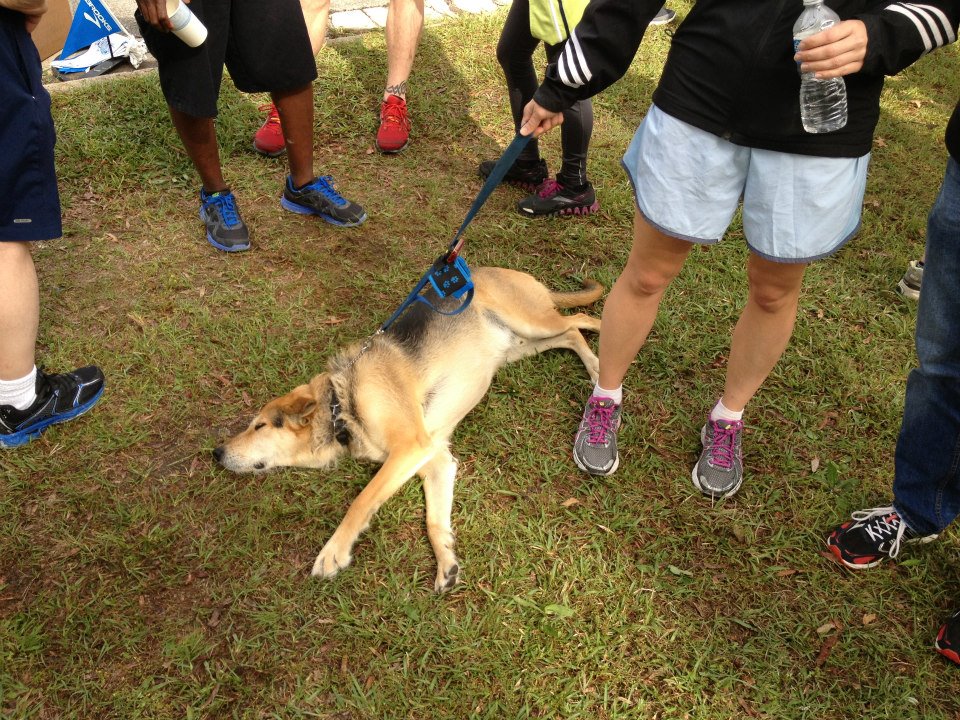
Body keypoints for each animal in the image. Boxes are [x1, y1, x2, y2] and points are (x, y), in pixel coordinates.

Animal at [213, 266, 602, 592]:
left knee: (581, 319)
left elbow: (361, 500)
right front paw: (446, 561)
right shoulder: (435, 460)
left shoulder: (409, 448)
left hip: (532, 322)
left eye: (259, 425)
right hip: (520, 346)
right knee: (570, 332)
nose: (216, 452)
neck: (342, 403)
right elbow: (434, 520)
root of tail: (499, 269)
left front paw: (334, 551)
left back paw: (599, 363)